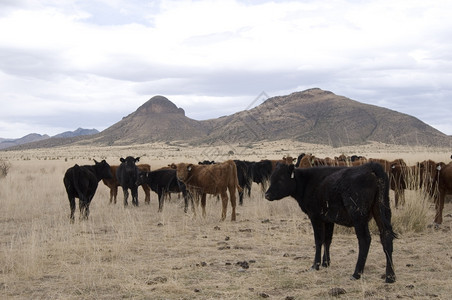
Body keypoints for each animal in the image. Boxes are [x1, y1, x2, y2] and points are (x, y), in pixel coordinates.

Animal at [266, 163, 398, 282]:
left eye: (281, 179)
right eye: (271, 178)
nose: (267, 195)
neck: (307, 183)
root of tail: (370, 166)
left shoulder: (315, 217)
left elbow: (318, 240)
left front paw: (315, 265)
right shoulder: (328, 219)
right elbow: (327, 240)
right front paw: (326, 263)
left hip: (359, 216)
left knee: (365, 240)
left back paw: (356, 274)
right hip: (382, 210)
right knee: (386, 237)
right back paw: (390, 276)